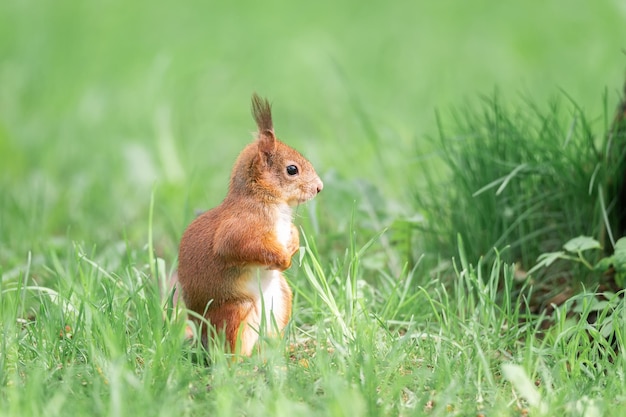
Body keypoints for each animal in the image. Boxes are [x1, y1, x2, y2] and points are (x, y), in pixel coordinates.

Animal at [176, 93, 322, 354]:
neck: (267, 200)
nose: (319, 187)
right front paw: (283, 259)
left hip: (283, 298)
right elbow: (240, 247)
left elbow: (292, 232)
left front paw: (292, 244)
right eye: (292, 169)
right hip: (236, 312)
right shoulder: (239, 228)